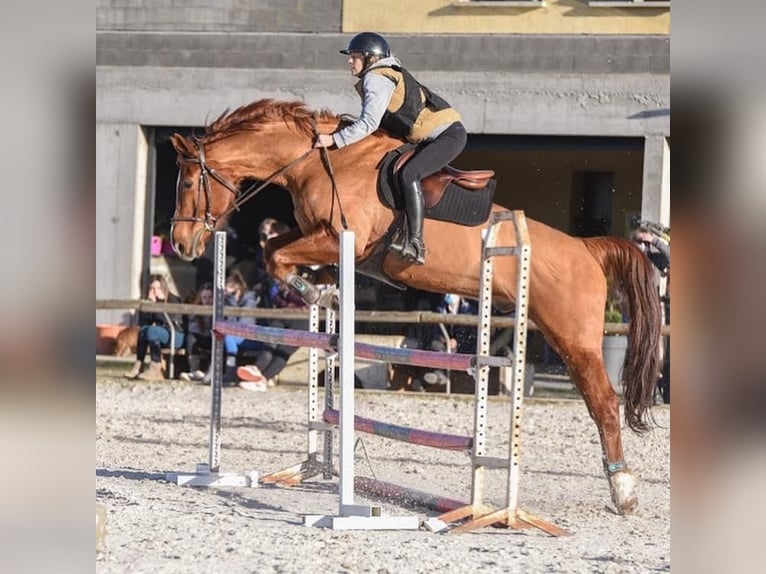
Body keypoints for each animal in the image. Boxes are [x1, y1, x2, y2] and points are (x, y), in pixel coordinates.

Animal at [171, 100, 664, 516]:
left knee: (604, 402)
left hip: (573, 338)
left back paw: (623, 491)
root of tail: (586, 248)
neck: (318, 160)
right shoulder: (316, 236)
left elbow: (274, 255)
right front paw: (322, 293)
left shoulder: (340, 239)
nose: (180, 244)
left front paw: (311, 293)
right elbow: (275, 249)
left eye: (191, 182)